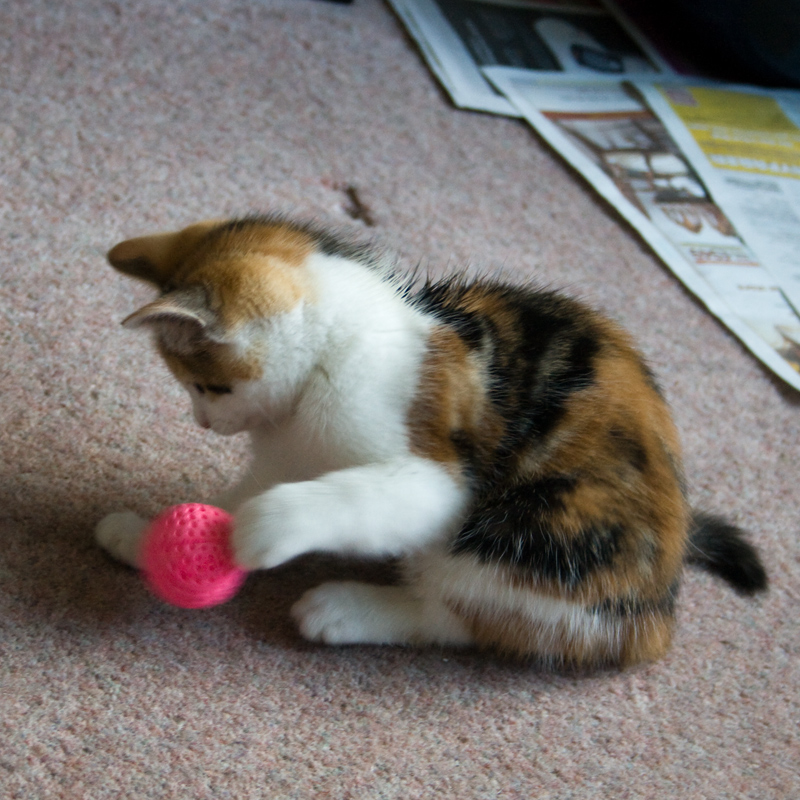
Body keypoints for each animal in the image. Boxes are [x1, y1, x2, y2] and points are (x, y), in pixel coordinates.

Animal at [95, 214, 768, 668]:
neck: (337, 347)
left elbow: (357, 499)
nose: (203, 423)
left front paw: (261, 528)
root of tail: (659, 603)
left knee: (474, 617)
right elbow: (243, 493)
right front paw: (149, 537)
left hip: (526, 536)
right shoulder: (286, 451)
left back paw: (345, 610)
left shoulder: (433, 477)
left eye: (208, 386)